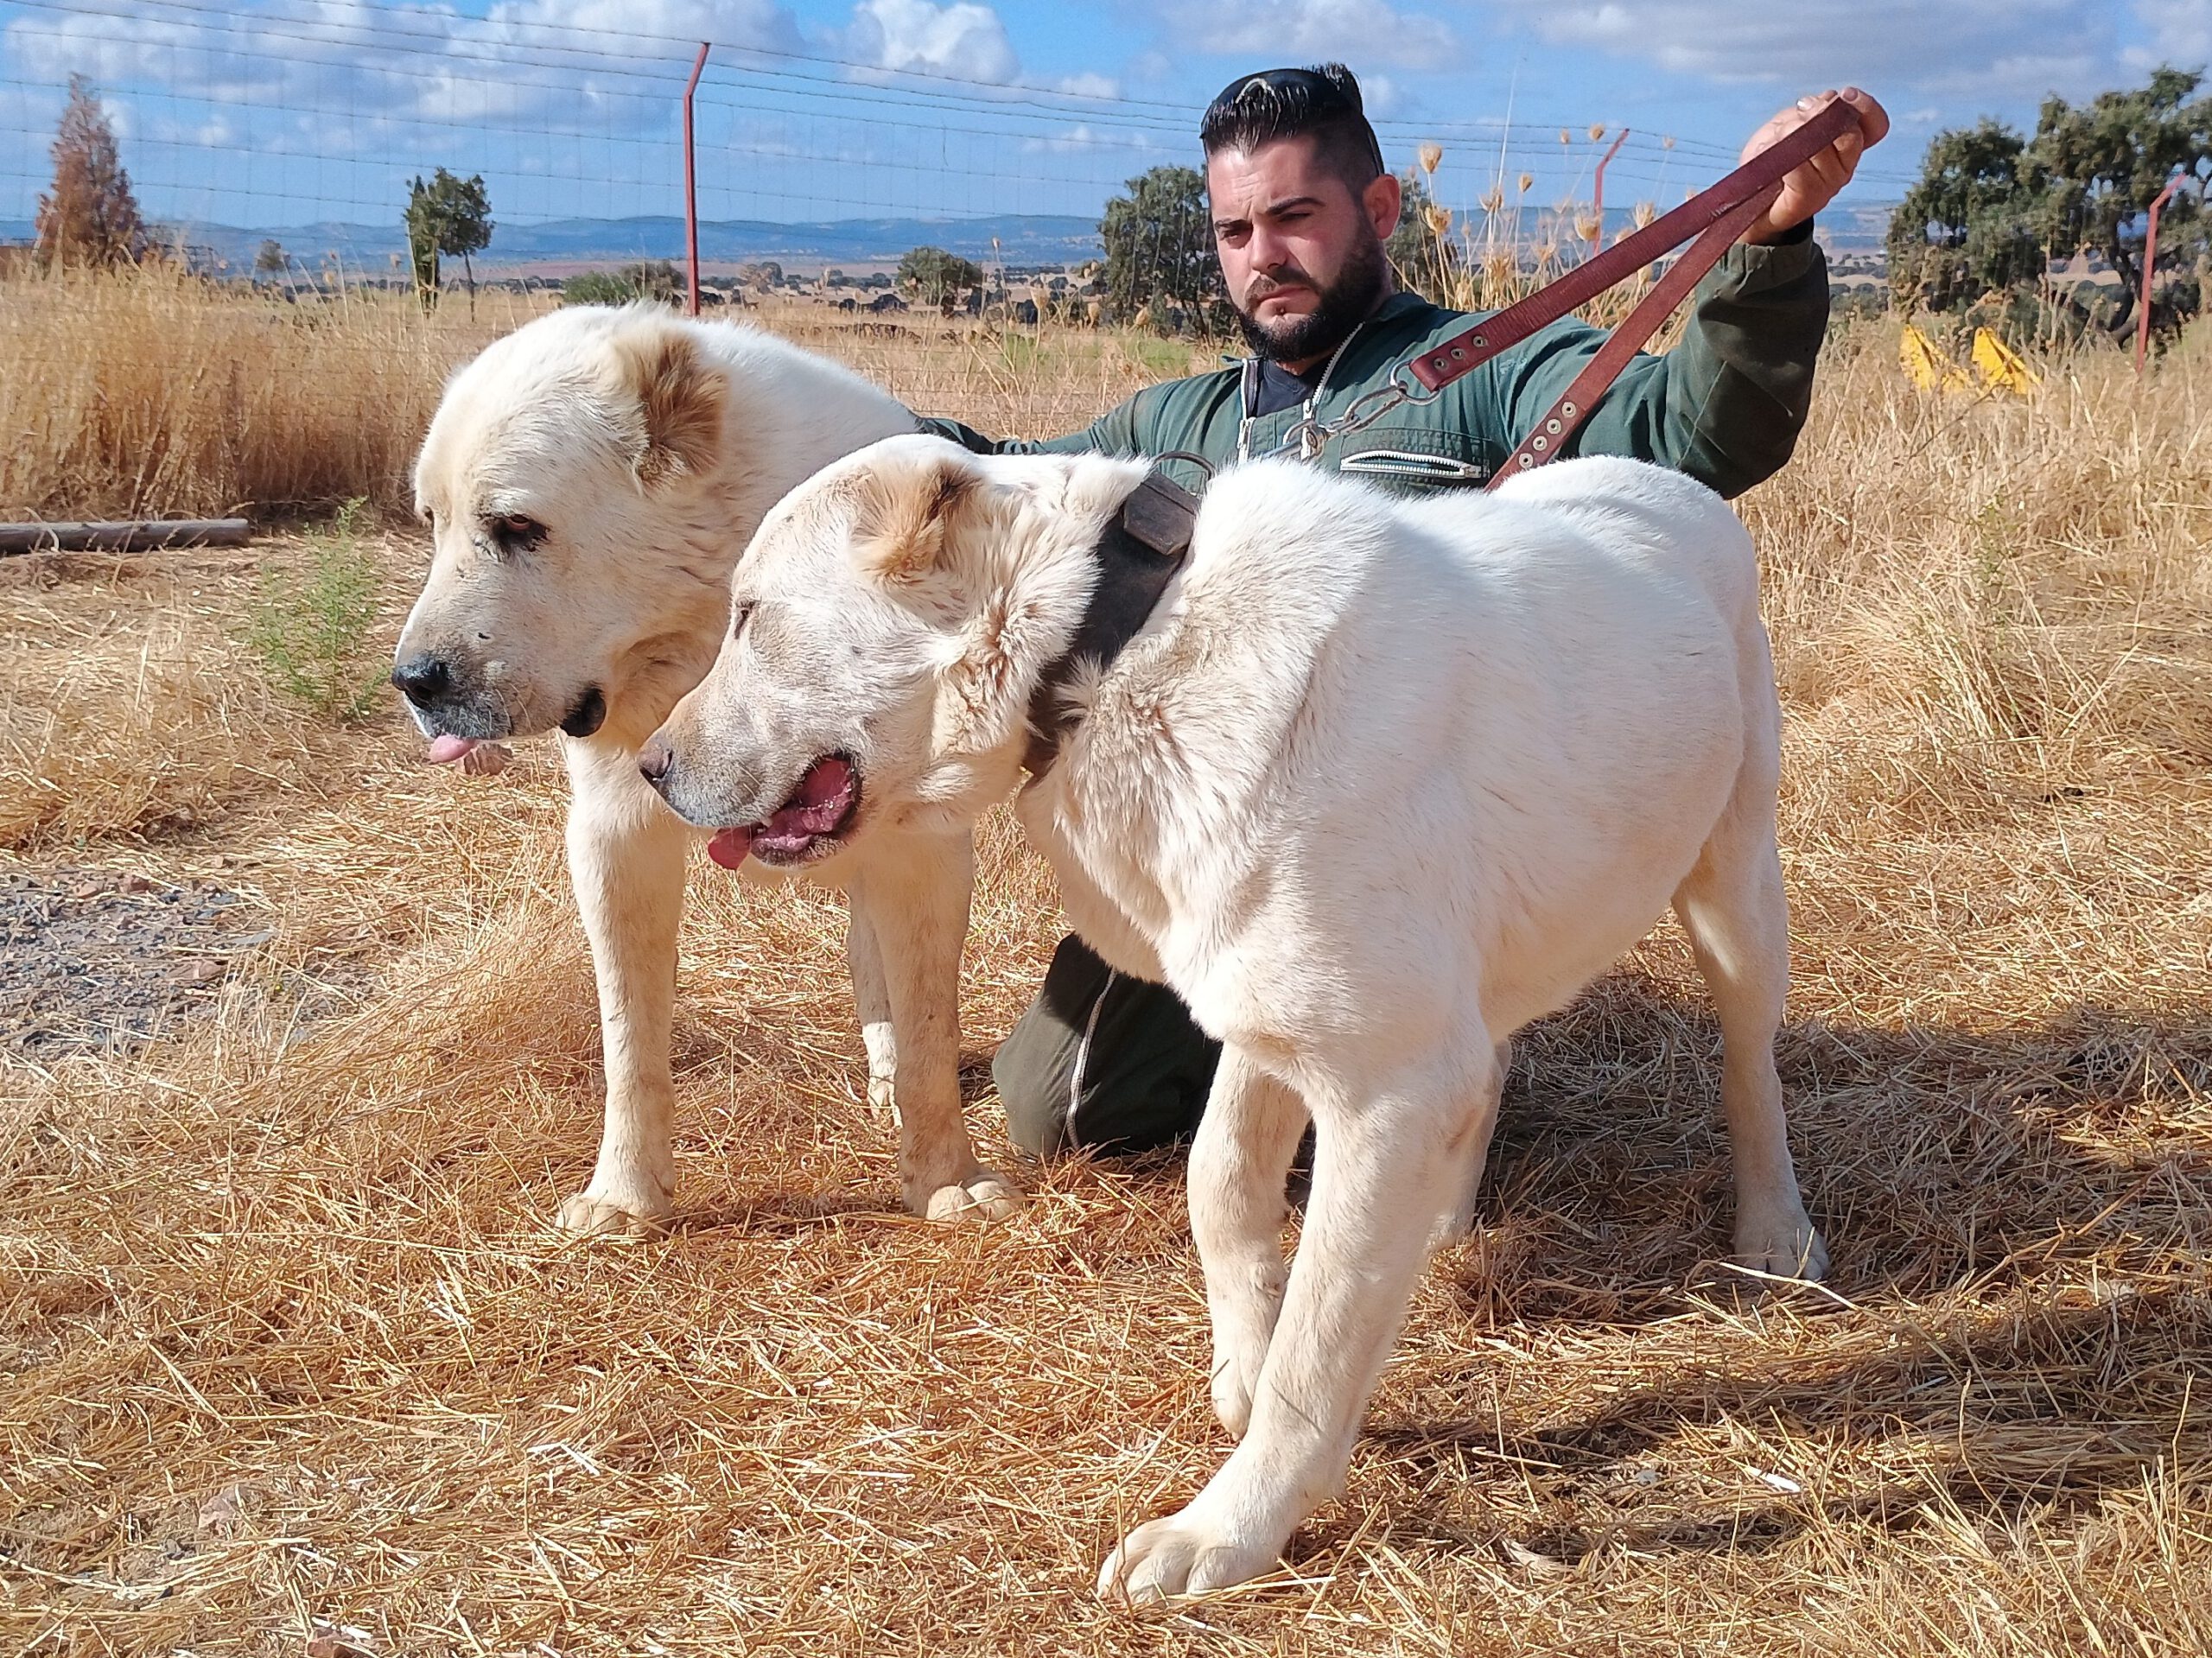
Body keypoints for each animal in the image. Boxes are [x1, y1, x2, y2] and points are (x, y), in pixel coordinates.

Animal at [393, 308, 1019, 1234]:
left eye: (515, 526)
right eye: (431, 522)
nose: (413, 682)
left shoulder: (926, 845)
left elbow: (931, 1031)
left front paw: (947, 1179)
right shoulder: (614, 838)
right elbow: (630, 1040)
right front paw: (624, 1195)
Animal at [643, 434, 1828, 1599]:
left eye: (749, 614)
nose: (649, 766)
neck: (1113, 655)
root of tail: (1669, 481)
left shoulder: (1380, 1086)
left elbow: (1319, 1342)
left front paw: (1228, 1528)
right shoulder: (1272, 1020)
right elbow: (1218, 1186)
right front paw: (1242, 1368)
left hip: (1735, 902)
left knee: (1750, 1069)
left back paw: (1774, 1228)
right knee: (1489, 1065)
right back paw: (1445, 1216)